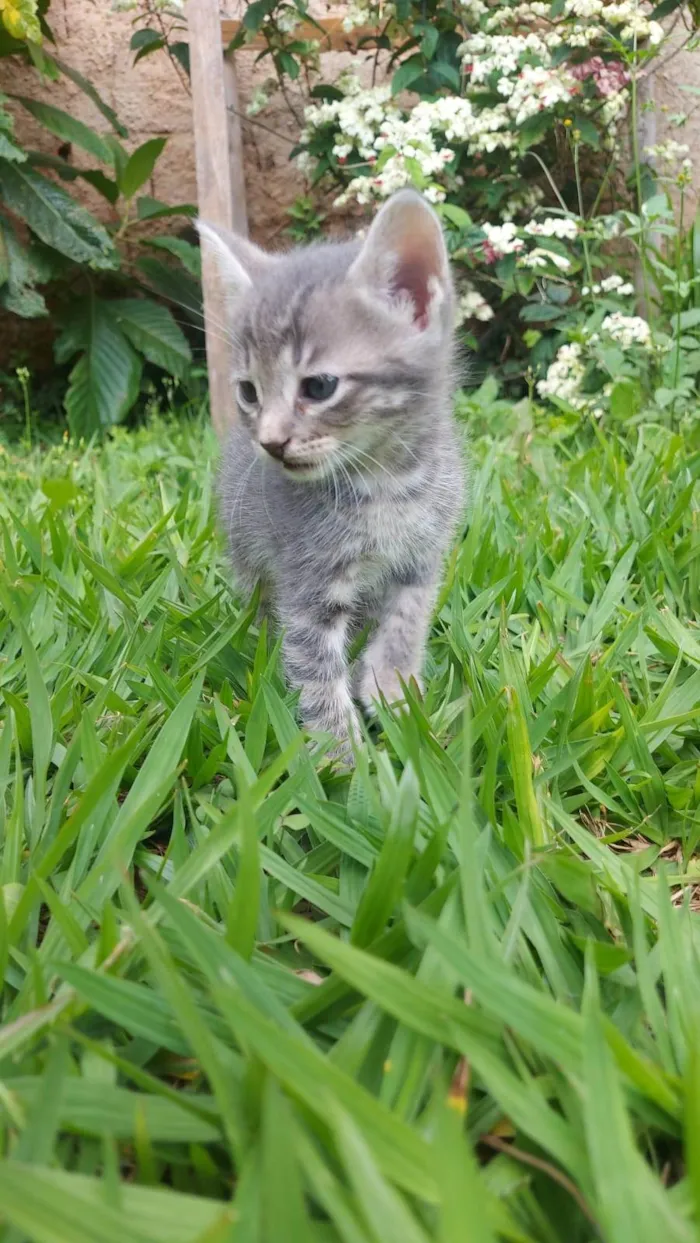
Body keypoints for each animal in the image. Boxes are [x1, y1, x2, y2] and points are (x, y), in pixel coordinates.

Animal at [198, 188, 465, 750]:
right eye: (249, 392)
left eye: (319, 387)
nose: (270, 442)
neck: (387, 485)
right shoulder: (307, 582)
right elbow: (316, 672)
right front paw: (344, 757)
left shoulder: (422, 559)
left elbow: (406, 623)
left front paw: (393, 692)